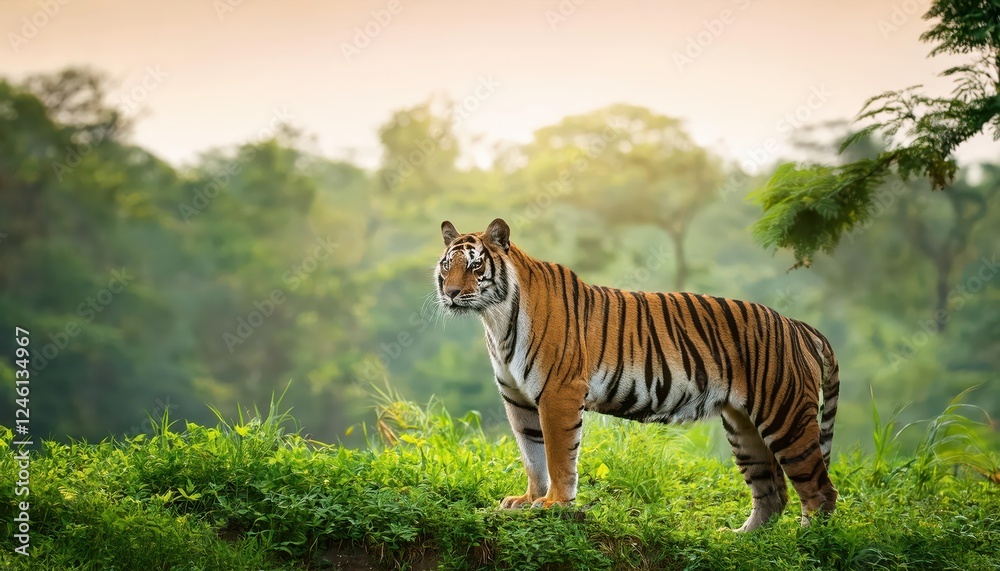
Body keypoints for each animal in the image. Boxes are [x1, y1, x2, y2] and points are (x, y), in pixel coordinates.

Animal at [435, 218, 839, 532]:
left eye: (474, 266)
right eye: (446, 266)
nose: (451, 293)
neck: (495, 317)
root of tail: (797, 325)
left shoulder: (558, 393)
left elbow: (558, 455)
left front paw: (555, 503)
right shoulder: (517, 399)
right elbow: (532, 454)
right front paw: (528, 498)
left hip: (784, 416)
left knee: (820, 490)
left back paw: (806, 542)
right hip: (743, 427)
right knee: (772, 492)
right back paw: (740, 539)